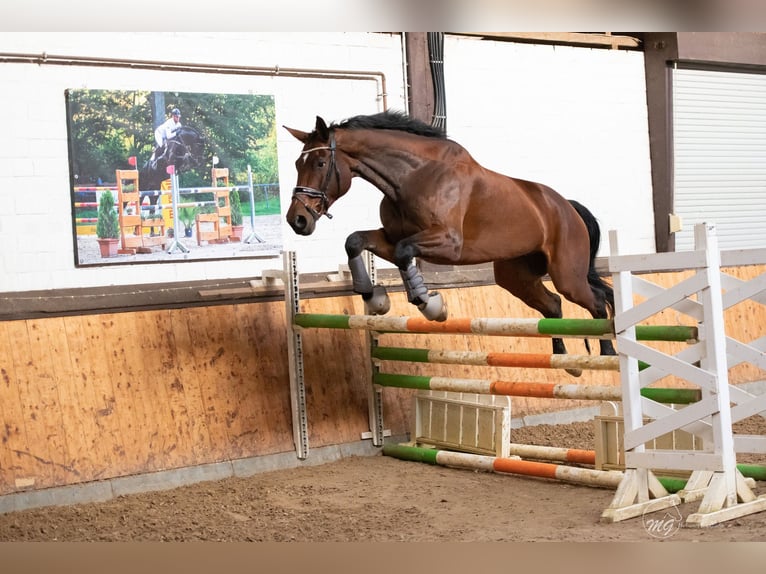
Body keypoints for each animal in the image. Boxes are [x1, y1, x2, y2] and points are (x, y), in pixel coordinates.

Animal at [284, 111, 616, 378]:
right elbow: (356, 241)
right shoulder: (390, 237)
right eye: (298, 163)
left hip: (566, 274)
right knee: (554, 305)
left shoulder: (447, 243)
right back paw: (565, 361)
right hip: (515, 277)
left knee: (596, 301)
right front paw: (373, 296)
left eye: (321, 162)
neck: (411, 176)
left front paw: (430, 305)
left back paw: (609, 353)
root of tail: (567, 206)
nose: (297, 220)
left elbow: (405, 252)